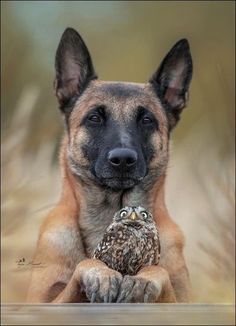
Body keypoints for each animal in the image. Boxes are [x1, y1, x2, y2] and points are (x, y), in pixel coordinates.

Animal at [26, 27, 193, 304]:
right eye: (94, 117)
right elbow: (85, 264)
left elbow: (158, 271)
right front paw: (101, 274)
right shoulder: (42, 301)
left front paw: (143, 280)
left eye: (147, 120)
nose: (123, 160)